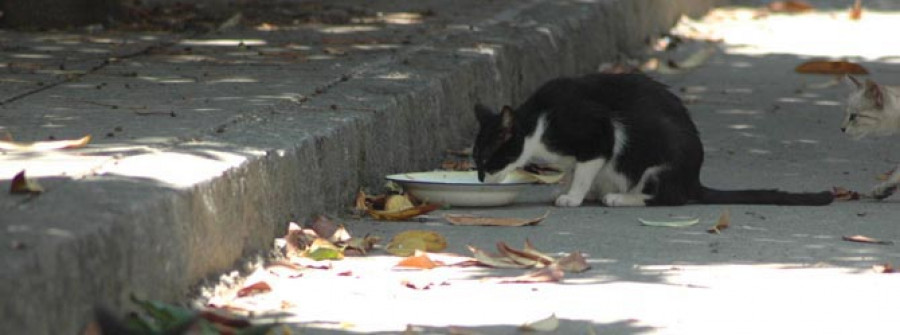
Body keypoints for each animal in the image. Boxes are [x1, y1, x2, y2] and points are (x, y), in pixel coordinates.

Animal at [474, 72, 832, 206]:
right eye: (475, 161)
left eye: (488, 160)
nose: (479, 179)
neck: (537, 124)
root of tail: (693, 180)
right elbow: (576, 171)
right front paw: (567, 188)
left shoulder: (598, 133)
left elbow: (586, 168)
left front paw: (573, 196)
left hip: (660, 160)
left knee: (666, 198)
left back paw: (619, 198)